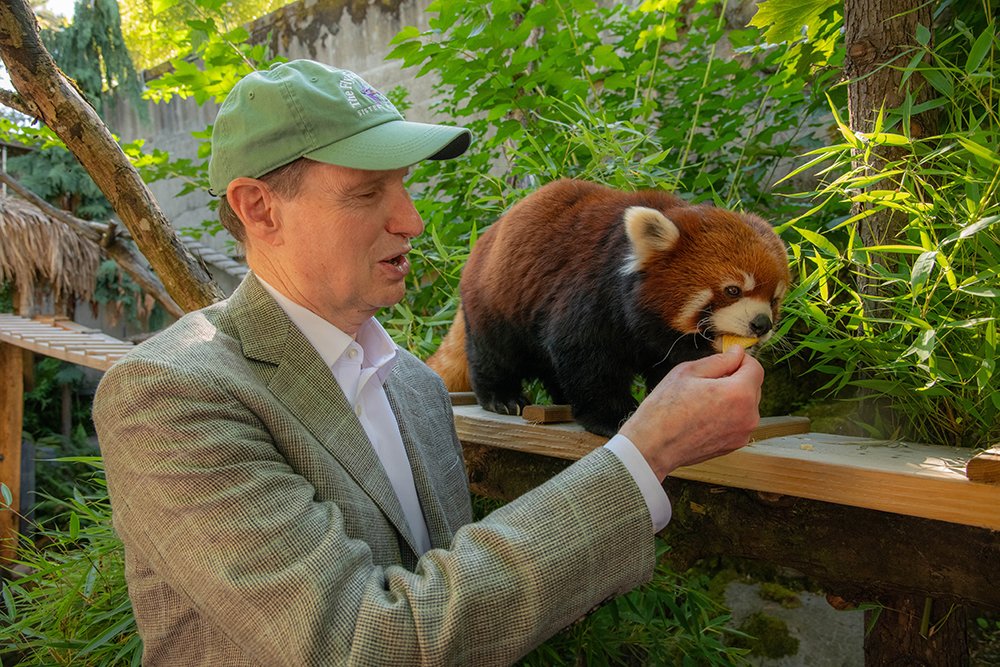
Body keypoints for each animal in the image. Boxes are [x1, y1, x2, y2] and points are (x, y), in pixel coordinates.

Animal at [426, 179, 792, 438]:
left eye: (774, 300)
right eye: (733, 290)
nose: (761, 324)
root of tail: (486, 239)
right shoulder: (590, 296)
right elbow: (588, 359)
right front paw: (615, 416)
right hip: (497, 302)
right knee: (496, 353)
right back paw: (502, 396)